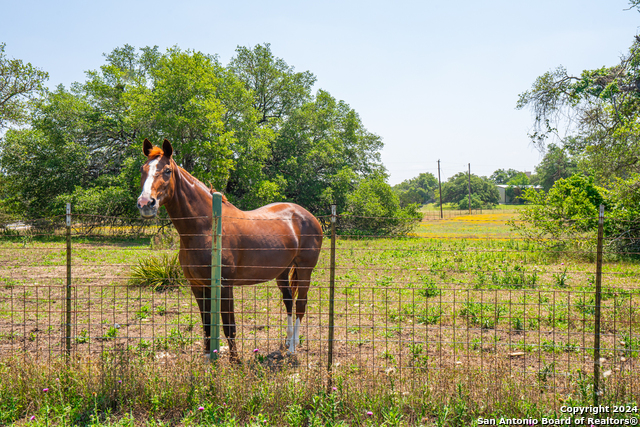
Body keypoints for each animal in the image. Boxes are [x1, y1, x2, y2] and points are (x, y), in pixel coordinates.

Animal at [137, 139, 322, 360]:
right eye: (142, 169)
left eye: (167, 171)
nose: (146, 204)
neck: (207, 227)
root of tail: (307, 216)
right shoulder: (198, 286)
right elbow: (207, 325)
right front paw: (208, 358)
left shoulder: (225, 286)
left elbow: (229, 326)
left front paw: (235, 362)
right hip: (283, 272)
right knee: (288, 301)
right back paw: (286, 342)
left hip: (305, 270)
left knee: (301, 304)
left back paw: (293, 348)